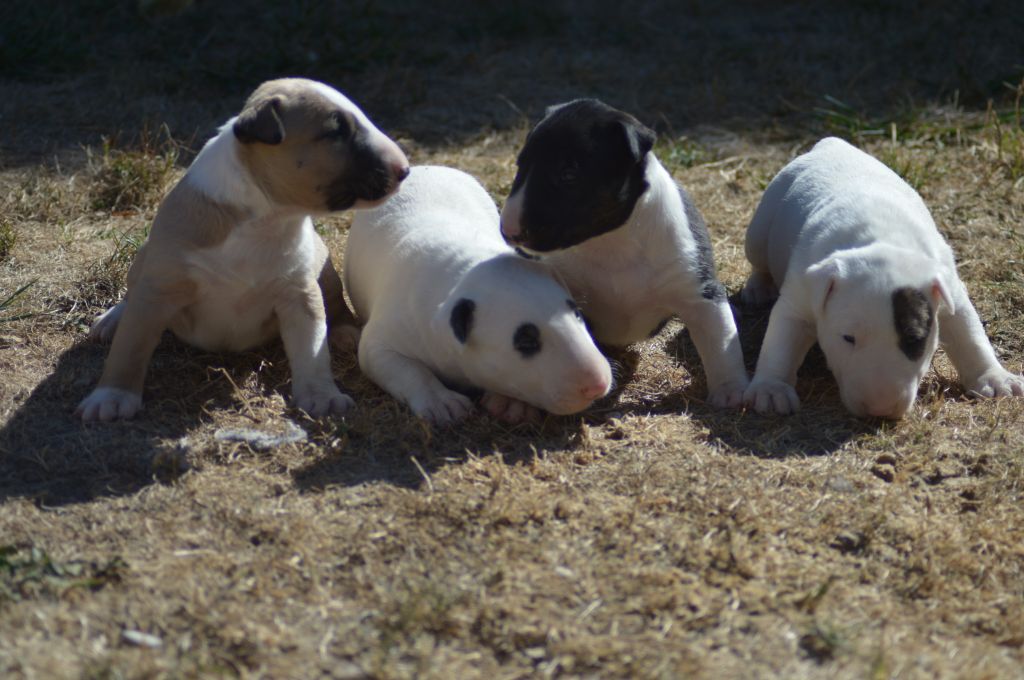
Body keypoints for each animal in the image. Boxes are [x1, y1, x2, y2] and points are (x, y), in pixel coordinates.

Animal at [77, 78, 409, 419]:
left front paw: (322, 396)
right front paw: (112, 397)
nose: (404, 169)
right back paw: (112, 319)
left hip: (325, 267)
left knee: (335, 300)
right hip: (144, 258)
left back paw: (344, 330)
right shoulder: (159, 288)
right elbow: (131, 345)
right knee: (132, 295)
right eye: (335, 132)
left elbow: (312, 350)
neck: (266, 220)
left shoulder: (299, 293)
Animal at [344, 164, 614, 421]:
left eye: (578, 314)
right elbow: (406, 368)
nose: (597, 386)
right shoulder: (383, 340)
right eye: (525, 342)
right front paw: (441, 403)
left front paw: (511, 403)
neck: (465, 268)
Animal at [501, 99, 749, 409]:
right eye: (520, 165)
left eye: (568, 174)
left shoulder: (698, 291)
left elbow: (720, 341)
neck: (612, 244)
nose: (508, 230)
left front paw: (731, 390)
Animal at [745, 135, 1024, 417]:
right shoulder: (799, 299)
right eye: (848, 338)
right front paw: (771, 389)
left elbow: (970, 336)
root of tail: (832, 143)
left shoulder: (951, 291)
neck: (881, 240)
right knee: (759, 262)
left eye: (915, 338)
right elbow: (780, 345)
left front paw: (996, 378)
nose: (879, 409)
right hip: (758, 232)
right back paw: (758, 287)